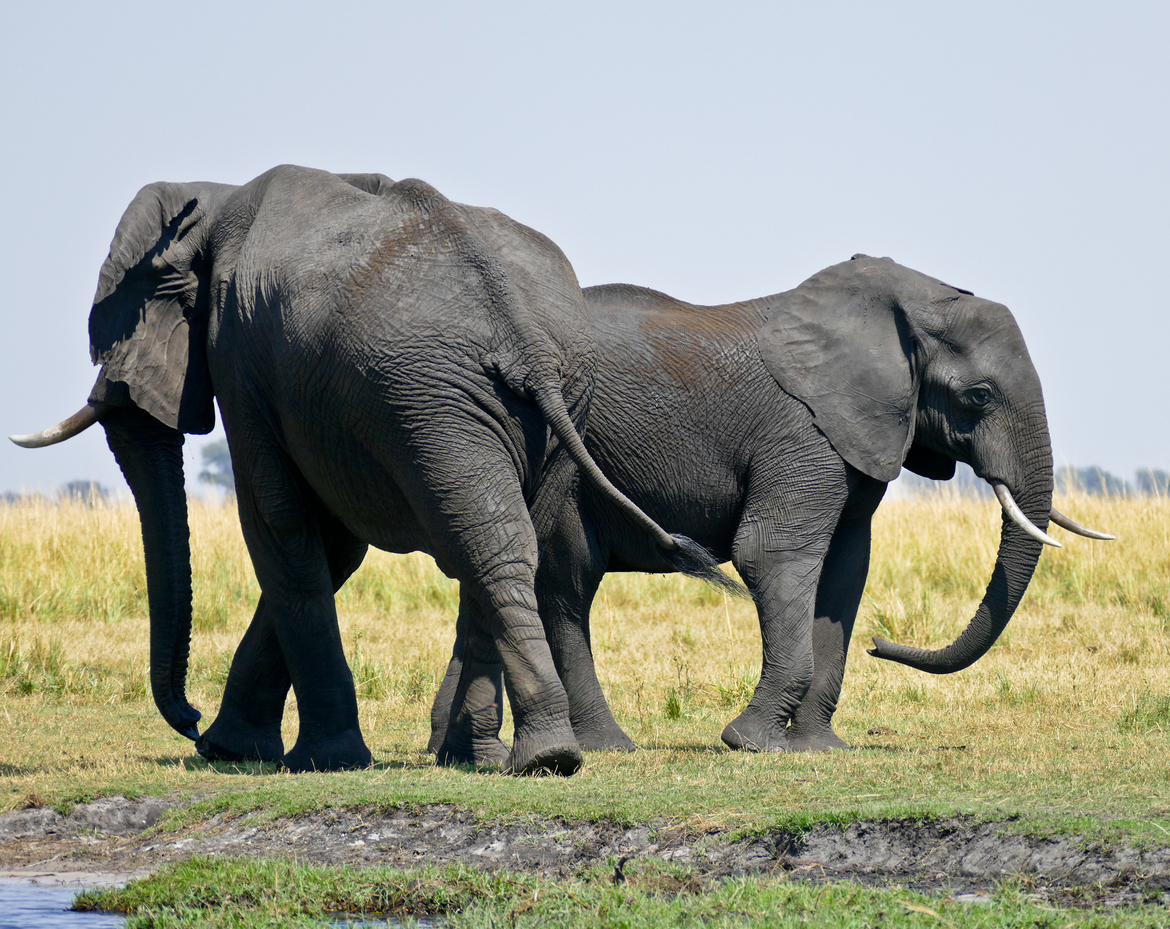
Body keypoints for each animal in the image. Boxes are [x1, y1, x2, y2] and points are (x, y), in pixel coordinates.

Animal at [11, 164, 740, 774]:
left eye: (115, 325)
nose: (186, 720)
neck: (213, 197)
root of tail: (522, 334)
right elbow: (332, 547)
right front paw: (230, 749)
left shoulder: (240, 354)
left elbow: (280, 524)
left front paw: (312, 760)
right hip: (533, 396)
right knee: (499, 541)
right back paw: (507, 758)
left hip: (433, 401)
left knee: (478, 541)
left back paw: (520, 757)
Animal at [429, 254, 1114, 757]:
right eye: (978, 395)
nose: (883, 646)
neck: (904, 305)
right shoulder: (802, 433)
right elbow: (772, 554)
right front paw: (750, 744)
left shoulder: (855, 441)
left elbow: (845, 571)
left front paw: (819, 750)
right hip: (564, 466)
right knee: (567, 585)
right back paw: (605, 747)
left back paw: (454, 753)